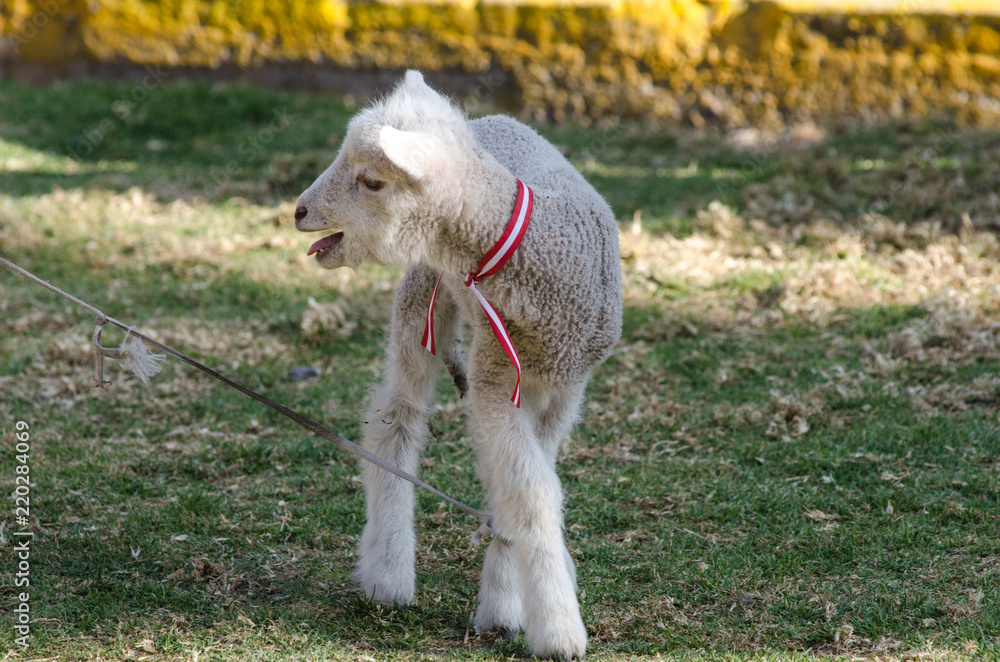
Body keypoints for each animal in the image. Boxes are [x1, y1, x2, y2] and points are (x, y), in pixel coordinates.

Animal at [294, 70, 622, 660]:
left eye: (371, 181)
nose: (299, 211)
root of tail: (485, 120)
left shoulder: (564, 386)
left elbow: (524, 487)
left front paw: (507, 603)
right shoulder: (496, 375)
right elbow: (531, 494)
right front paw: (559, 630)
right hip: (421, 295)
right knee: (395, 422)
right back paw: (388, 576)